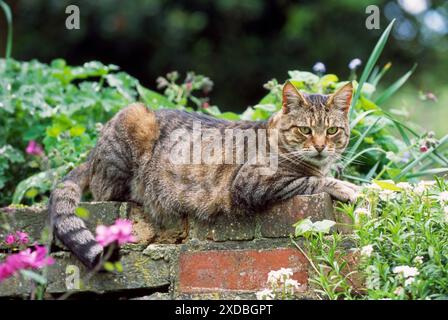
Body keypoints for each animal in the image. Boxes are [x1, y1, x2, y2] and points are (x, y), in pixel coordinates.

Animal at [48, 80, 356, 268]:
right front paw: (347, 187)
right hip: (133, 121)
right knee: (105, 190)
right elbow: (311, 180)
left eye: (332, 130)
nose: (320, 146)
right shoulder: (251, 182)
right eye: (304, 130)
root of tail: (92, 152)